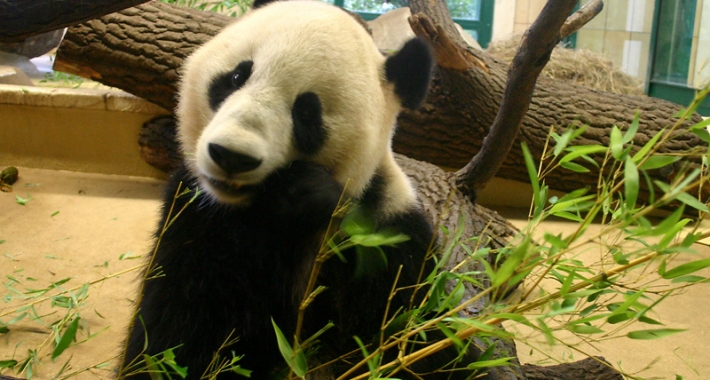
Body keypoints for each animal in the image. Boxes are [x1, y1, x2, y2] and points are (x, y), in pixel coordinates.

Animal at [119, 1, 492, 378]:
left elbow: (414, 336)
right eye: (237, 76)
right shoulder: (194, 216)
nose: (233, 156)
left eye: (307, 112)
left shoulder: (388, 239)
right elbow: (178, 334)